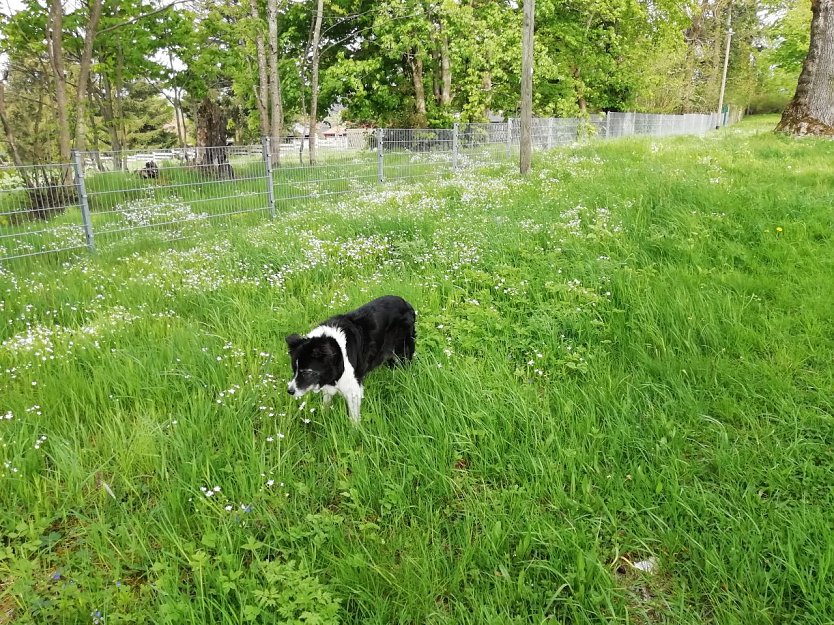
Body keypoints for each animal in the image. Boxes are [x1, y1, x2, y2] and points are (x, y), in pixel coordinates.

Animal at [286, 294, 416, 422]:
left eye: (306, 372)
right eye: (294, 370)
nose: (290, 391)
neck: (337, 353)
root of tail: (406, 303)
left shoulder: (353, 389)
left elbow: (354, 418)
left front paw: (355, 428)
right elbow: (326, 403)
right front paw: (324, 418)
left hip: (403, 351)